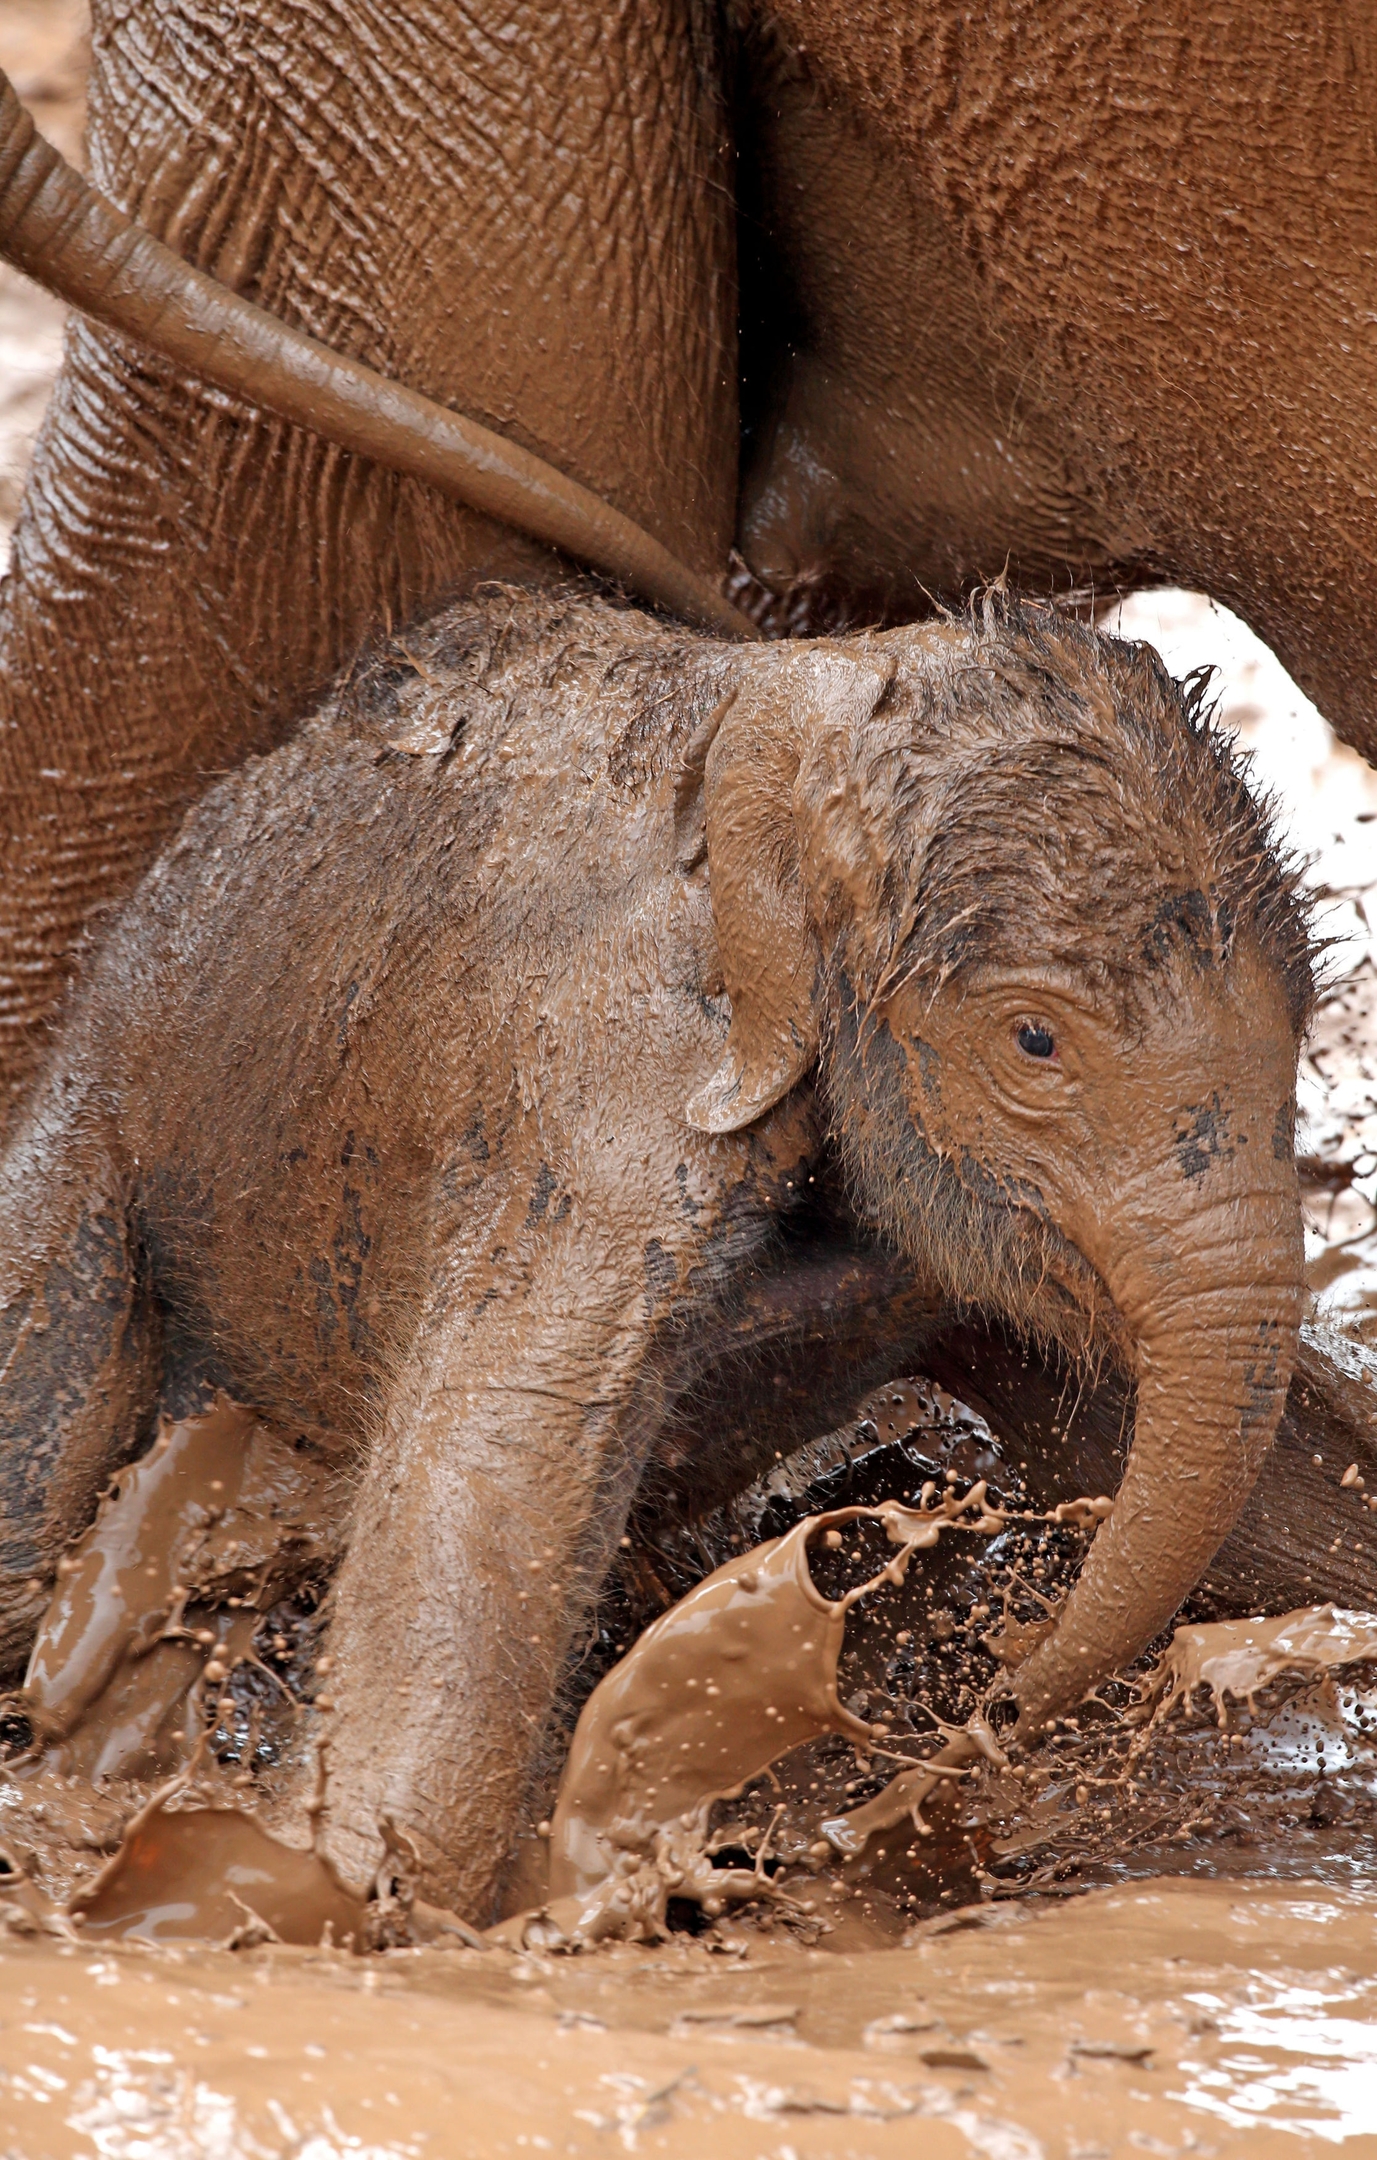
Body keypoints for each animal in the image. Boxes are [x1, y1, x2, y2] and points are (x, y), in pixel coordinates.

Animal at [0, 583, 1312, 1918]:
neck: (813, 706)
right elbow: (495, 1460)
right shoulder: (611, 1071)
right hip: (98, 1115)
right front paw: (330, 1893)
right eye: (1035, 1040)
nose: (986, 1684)